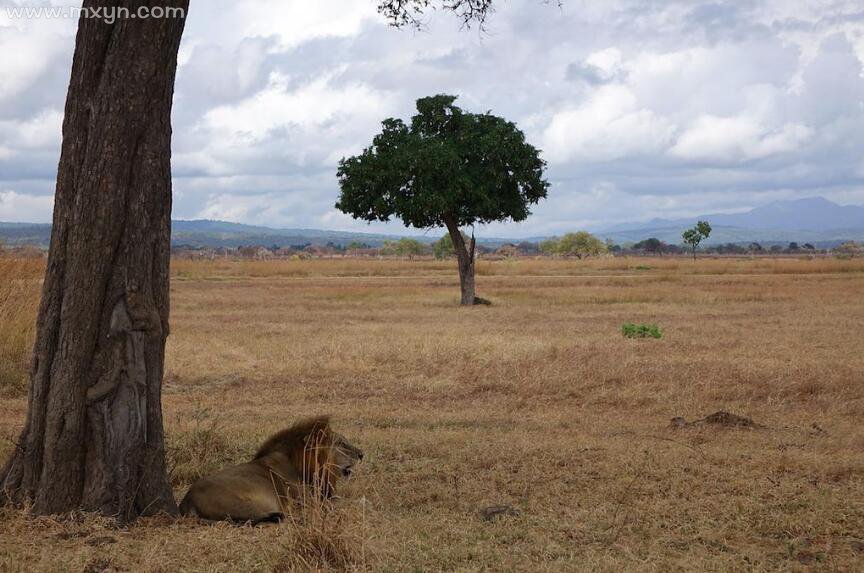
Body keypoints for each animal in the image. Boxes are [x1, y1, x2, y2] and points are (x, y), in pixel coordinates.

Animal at [179, 416, 362, 524]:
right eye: (341, 443)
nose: (362, 454)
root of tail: (186, 501)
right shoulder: (309, 501)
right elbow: (343, 502)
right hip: (242, 503)